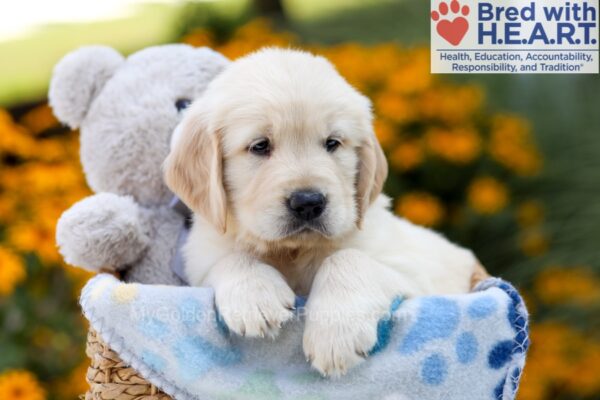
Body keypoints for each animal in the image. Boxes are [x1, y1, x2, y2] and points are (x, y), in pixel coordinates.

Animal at [164, 47, 488, 378]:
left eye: (333, 143)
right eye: (260, 146)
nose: (308, 202)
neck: (293, 251)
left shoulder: (415, 274)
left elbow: (347, 258)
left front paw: (335, 335)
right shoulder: (201, 262)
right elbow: (231, 258)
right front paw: (254, 297)